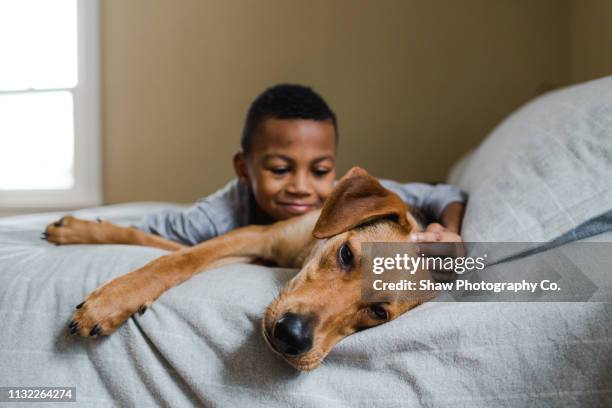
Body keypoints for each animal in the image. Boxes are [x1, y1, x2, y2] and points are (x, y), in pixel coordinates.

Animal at [47, 167, 430, 372]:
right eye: (347, 254)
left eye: (379, 313)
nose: (291, 337)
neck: (298, 258)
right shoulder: (254, 236)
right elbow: (173, 258)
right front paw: (109, 299)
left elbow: (171, 252)